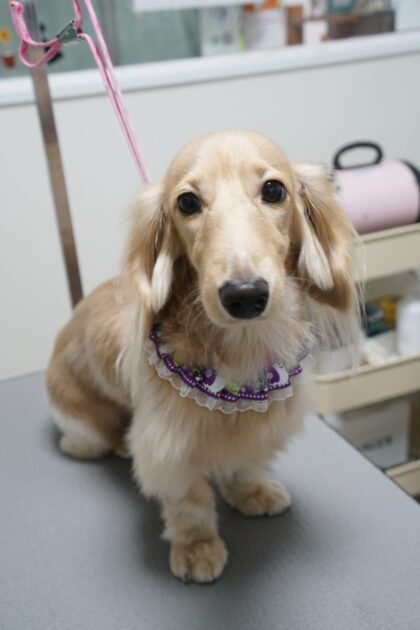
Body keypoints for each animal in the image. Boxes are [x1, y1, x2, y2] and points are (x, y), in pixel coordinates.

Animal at [46, 131, 359, 583]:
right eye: (188, 202)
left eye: (273, 190)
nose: (244, 295)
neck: (243, 351)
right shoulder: (167, 450)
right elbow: (189, 502)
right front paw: (197, 548)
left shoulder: (261, 430)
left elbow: (245, 465)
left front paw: (251, 492)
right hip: (86, 429)